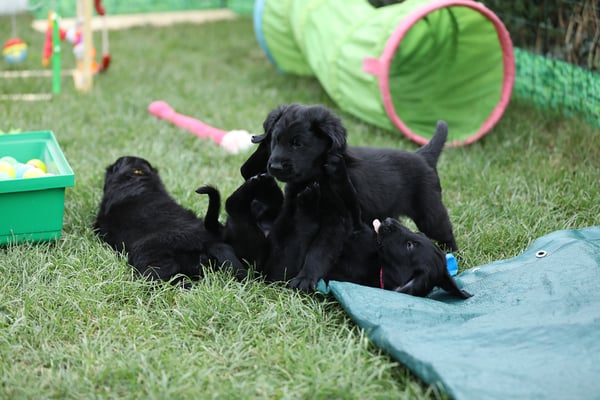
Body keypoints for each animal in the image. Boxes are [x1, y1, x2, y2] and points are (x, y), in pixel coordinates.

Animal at [240, 103, 458, 252]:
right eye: (275, 140)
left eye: (297, 144)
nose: (275, 166)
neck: (317, 177)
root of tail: (423, 155)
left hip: (429, 212)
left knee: (446, 232)